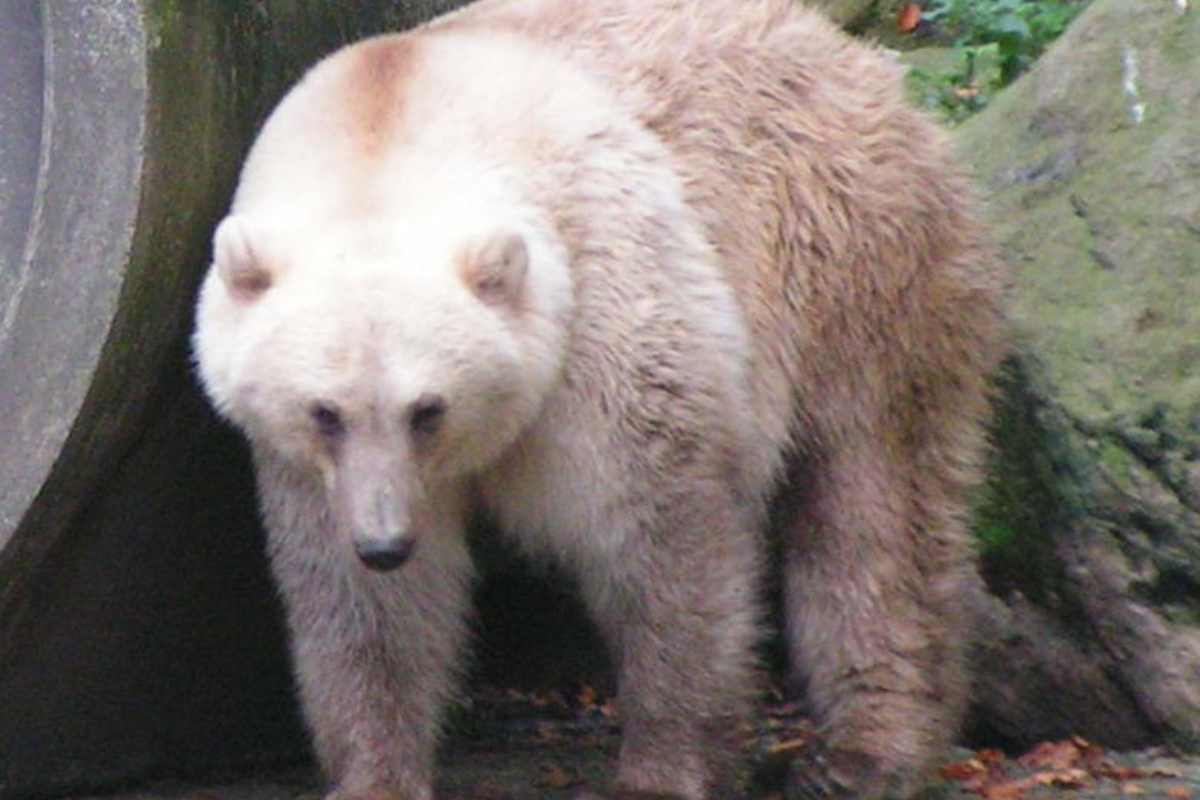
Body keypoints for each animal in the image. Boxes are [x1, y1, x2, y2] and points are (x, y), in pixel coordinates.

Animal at [192, 1, 1008, 798]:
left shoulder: (603, 304)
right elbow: (361, 604)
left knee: (873, 498)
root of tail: (858, 59)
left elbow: (658, 538)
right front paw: (377, 774)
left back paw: (865, 754)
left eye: (429, 409)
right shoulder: (306, 467)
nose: (385, 542)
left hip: (852, 255)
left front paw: (665, 768)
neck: (393, 126)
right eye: (324, 412)